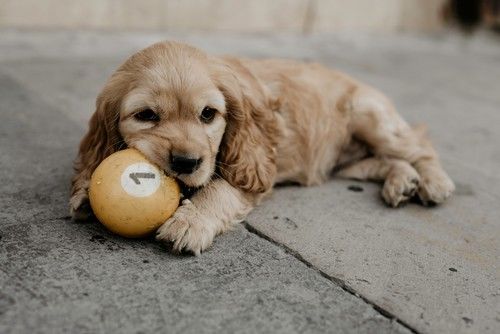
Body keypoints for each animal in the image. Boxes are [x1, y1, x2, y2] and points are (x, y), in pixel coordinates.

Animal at [69, 41, 454, 256]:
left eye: (208, 114)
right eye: (146, 115)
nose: (187, 162)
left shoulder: (251, 164)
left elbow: (220, 189)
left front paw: (190, 223)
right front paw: (86, 193)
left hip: (369, 116)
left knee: (419, 147)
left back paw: (433, 182)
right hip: (345, 161)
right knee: (384, 161)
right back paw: (402, 182)